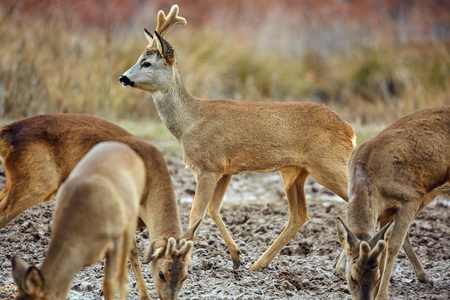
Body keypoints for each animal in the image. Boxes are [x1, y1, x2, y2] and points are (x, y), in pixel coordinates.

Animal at [118, 4, 356, 270]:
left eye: (146, 63)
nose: (123, 78)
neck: (188, 123)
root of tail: (349, 131)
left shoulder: (208, 166)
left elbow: (196, 213)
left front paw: (182, 261)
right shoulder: (225, 170)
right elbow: (213, 210)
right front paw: (236, 256)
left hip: (328, 164)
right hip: (295, 172)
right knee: (300, 216)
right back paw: (262, 264)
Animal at [336, 106, 448, 300]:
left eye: (375, 278)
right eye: (352, 278)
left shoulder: (411, 196)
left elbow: (393, 244)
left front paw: (382, 295)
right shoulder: (387, 211)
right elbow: (384, 243)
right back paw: (423, 275)